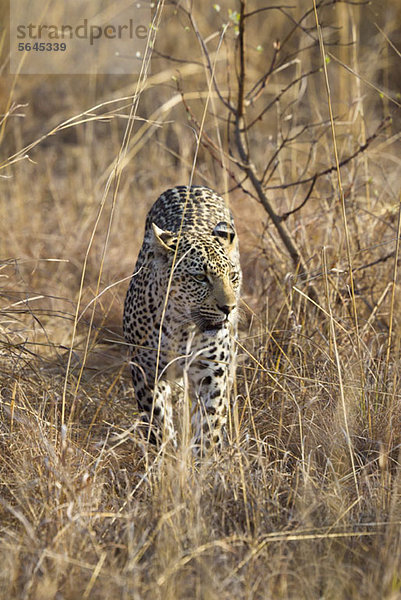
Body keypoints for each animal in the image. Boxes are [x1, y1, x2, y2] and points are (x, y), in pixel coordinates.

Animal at [122, 185, 241, 452]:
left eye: (233, 276)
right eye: (200, 278)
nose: (229, 307)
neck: (182, 327)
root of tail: (192, 186)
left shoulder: (212, 372)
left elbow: (208, 426)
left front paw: (202, 459)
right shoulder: (147, 372)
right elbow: (158, 423)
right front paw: (165, 457)